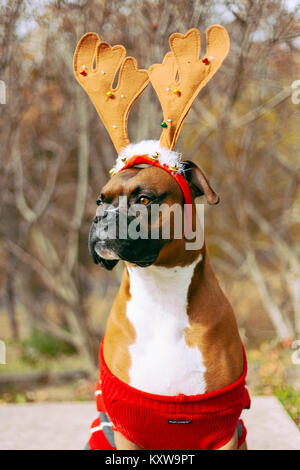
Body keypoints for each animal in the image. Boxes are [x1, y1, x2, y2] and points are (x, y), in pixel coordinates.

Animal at [74, 26, 250, 452]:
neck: (161, 290)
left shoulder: (224, 429)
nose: (101, 218)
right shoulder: (126, 428)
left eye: (143, 199)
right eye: (100, 200)